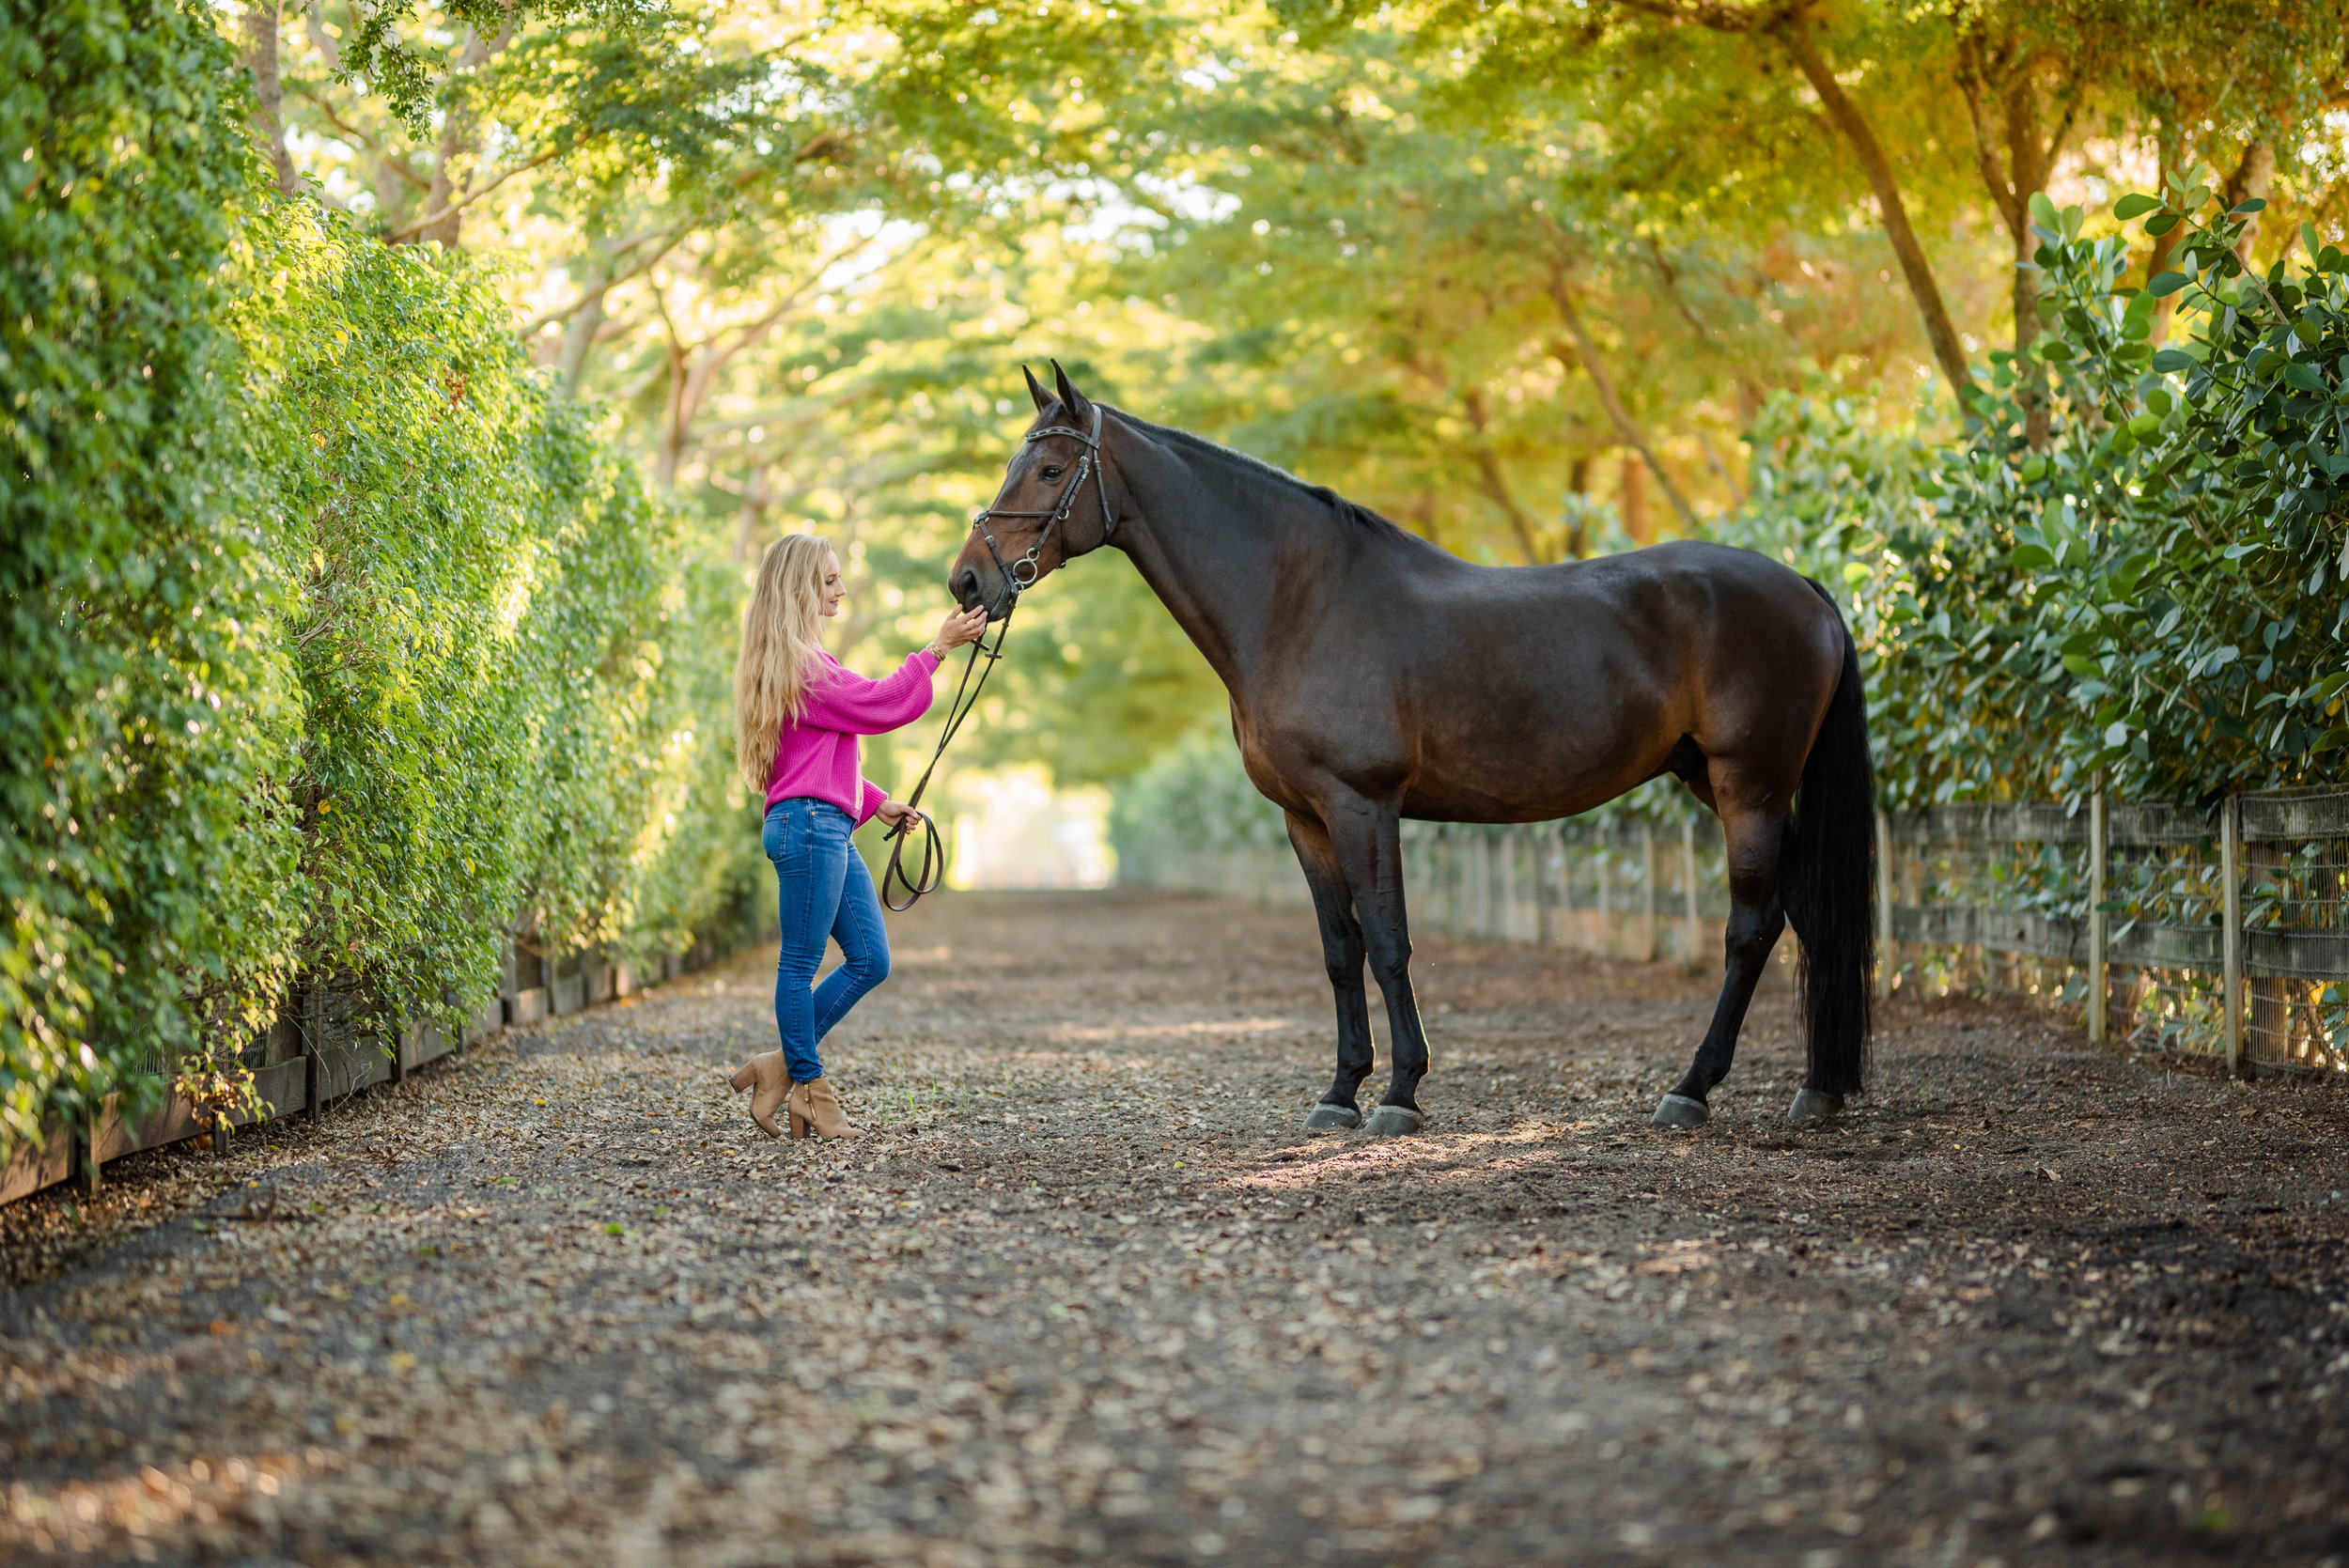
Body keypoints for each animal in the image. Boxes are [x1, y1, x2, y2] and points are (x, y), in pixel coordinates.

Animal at [951, 364, 1875, 1135]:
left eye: (1047, 470)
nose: (967, 581)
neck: (1300, 602)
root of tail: (1807, 589)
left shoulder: (1363, 803)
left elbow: (1390, 940)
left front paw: (1400, 1095)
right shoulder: (1305, 818)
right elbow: (1341, 950)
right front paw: (1339, 1094)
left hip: (1750, 784)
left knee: (1751, 926)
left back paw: (1691, 1090)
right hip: (1710, 779)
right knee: (1804, 910)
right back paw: (1819, 1089)